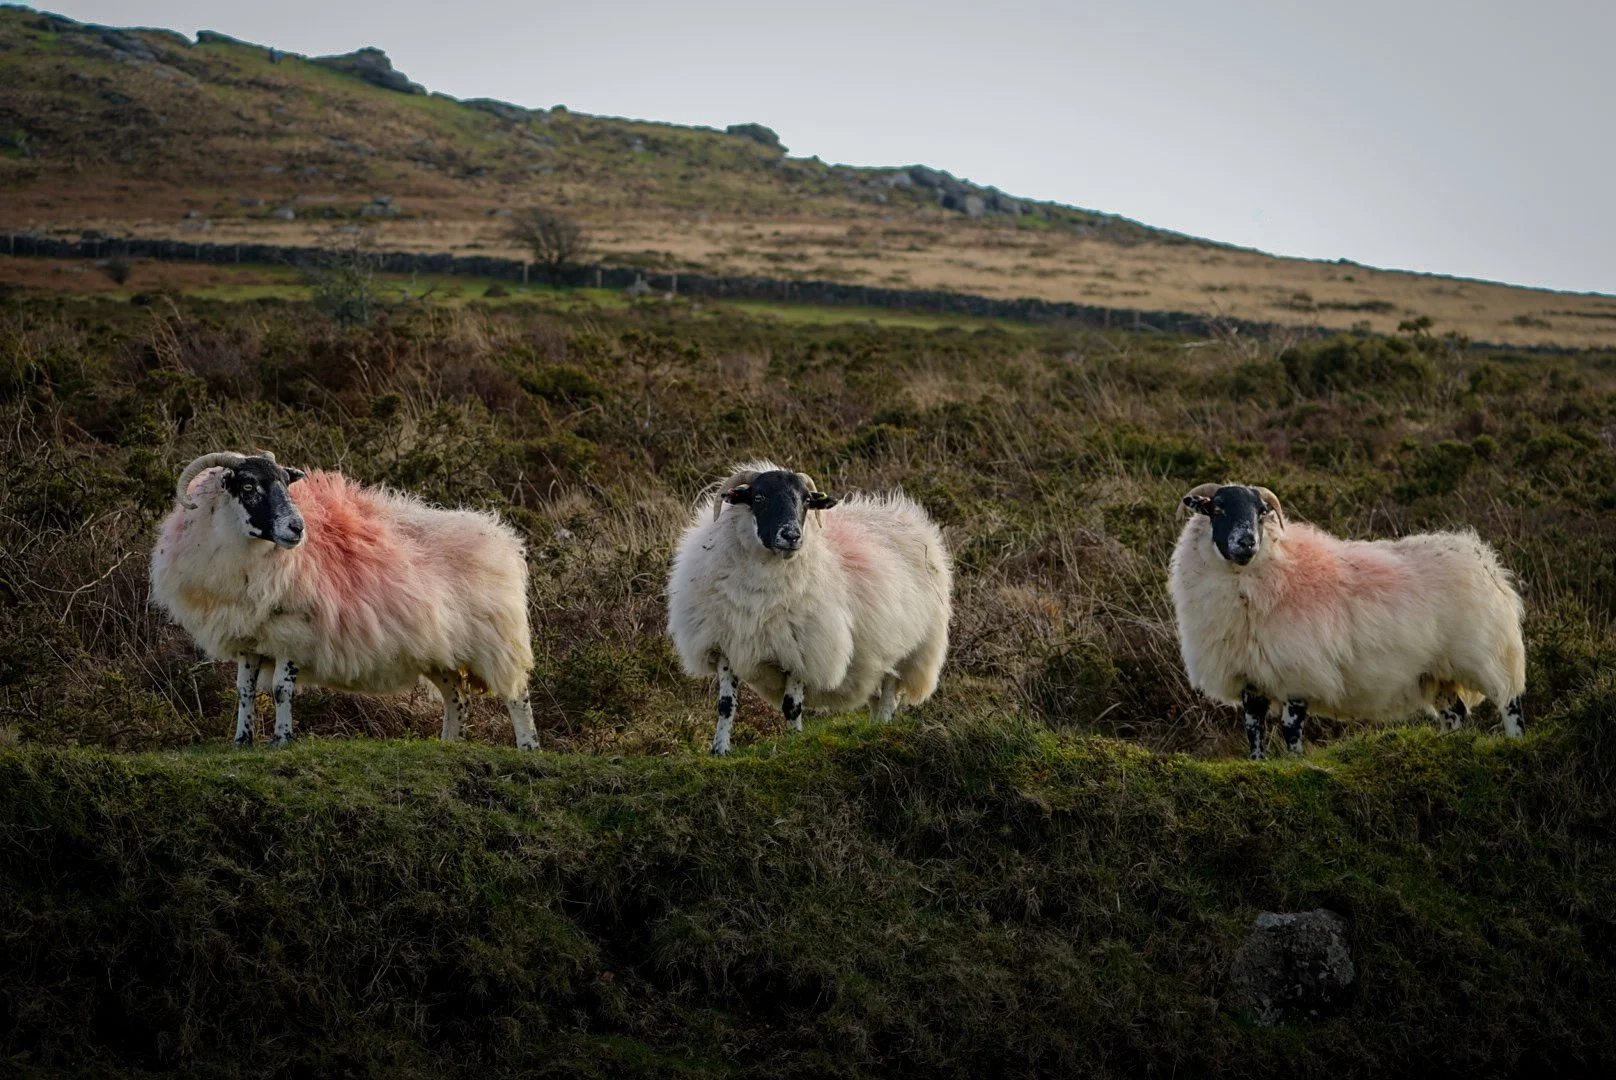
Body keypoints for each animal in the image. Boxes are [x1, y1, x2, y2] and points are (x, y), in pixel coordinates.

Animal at [149, 451, 539, 749]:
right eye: (248, 486)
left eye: (286, 485)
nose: (297, 528)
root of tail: (502, 537)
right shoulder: (249, 637)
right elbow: (244, 691)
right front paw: (241, 741)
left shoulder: (294, 631)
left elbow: (281, 690)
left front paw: (281, 740)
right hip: (440, 650)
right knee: (457, 695)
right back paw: (449, 744)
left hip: (497, 639)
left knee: (517, 695)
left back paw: (528, 746)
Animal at [666, 461, 953, 754]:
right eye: (759, 498)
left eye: (805, 501)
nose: (792, 536)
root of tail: (908, 517)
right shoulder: (724, 645)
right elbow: (726, 706)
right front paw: (720, 750)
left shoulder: (803, 650)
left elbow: (791, 706)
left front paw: (794, 743)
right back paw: (873, 727)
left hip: (908, 649)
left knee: (887, 693)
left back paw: (882, 728)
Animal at [1169, 483, 1526, 759]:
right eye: (1217, 509)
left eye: (1261, 512)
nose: (1247, 542)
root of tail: (1481, 558)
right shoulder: (1250, 676)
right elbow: (1253, 729)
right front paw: (1258, 763)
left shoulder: (1299, 670)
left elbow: (1290, 728)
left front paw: (1294, 762)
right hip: (1437, 671)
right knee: (1456, 713)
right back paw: (1449, 745)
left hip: (1484, 652)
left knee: (1510, 700)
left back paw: (1516, 742)